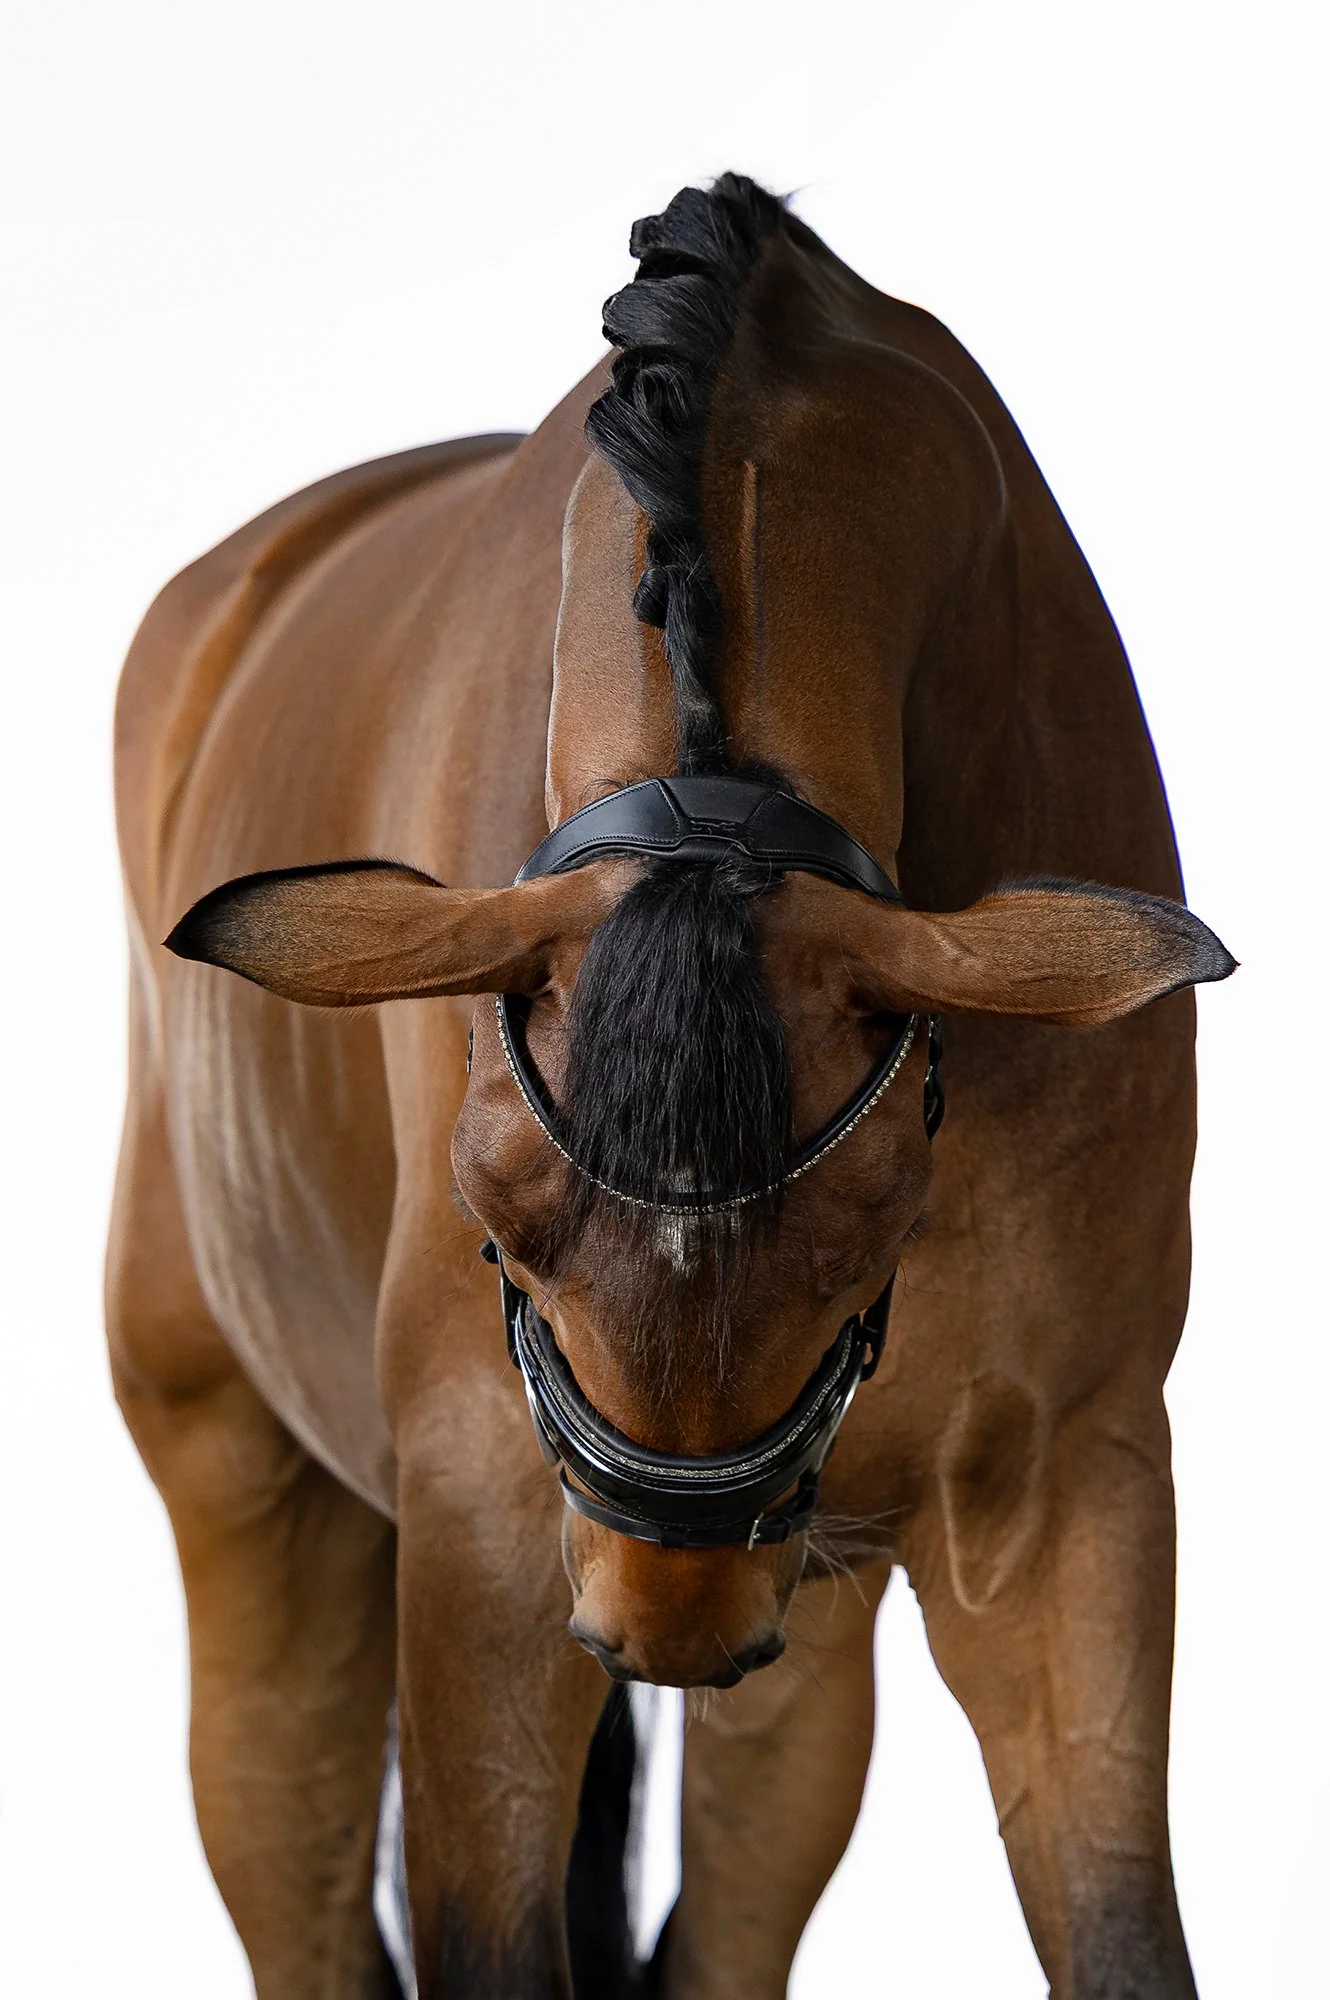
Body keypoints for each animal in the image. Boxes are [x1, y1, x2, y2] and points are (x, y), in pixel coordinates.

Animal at [107, 174, 1232, 1999]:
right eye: (497, 1224)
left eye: (875, 1234)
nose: (665, 1621)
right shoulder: (482, 1521)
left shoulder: (1068, 1484)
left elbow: (1119, 1929)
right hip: (241, 1476)